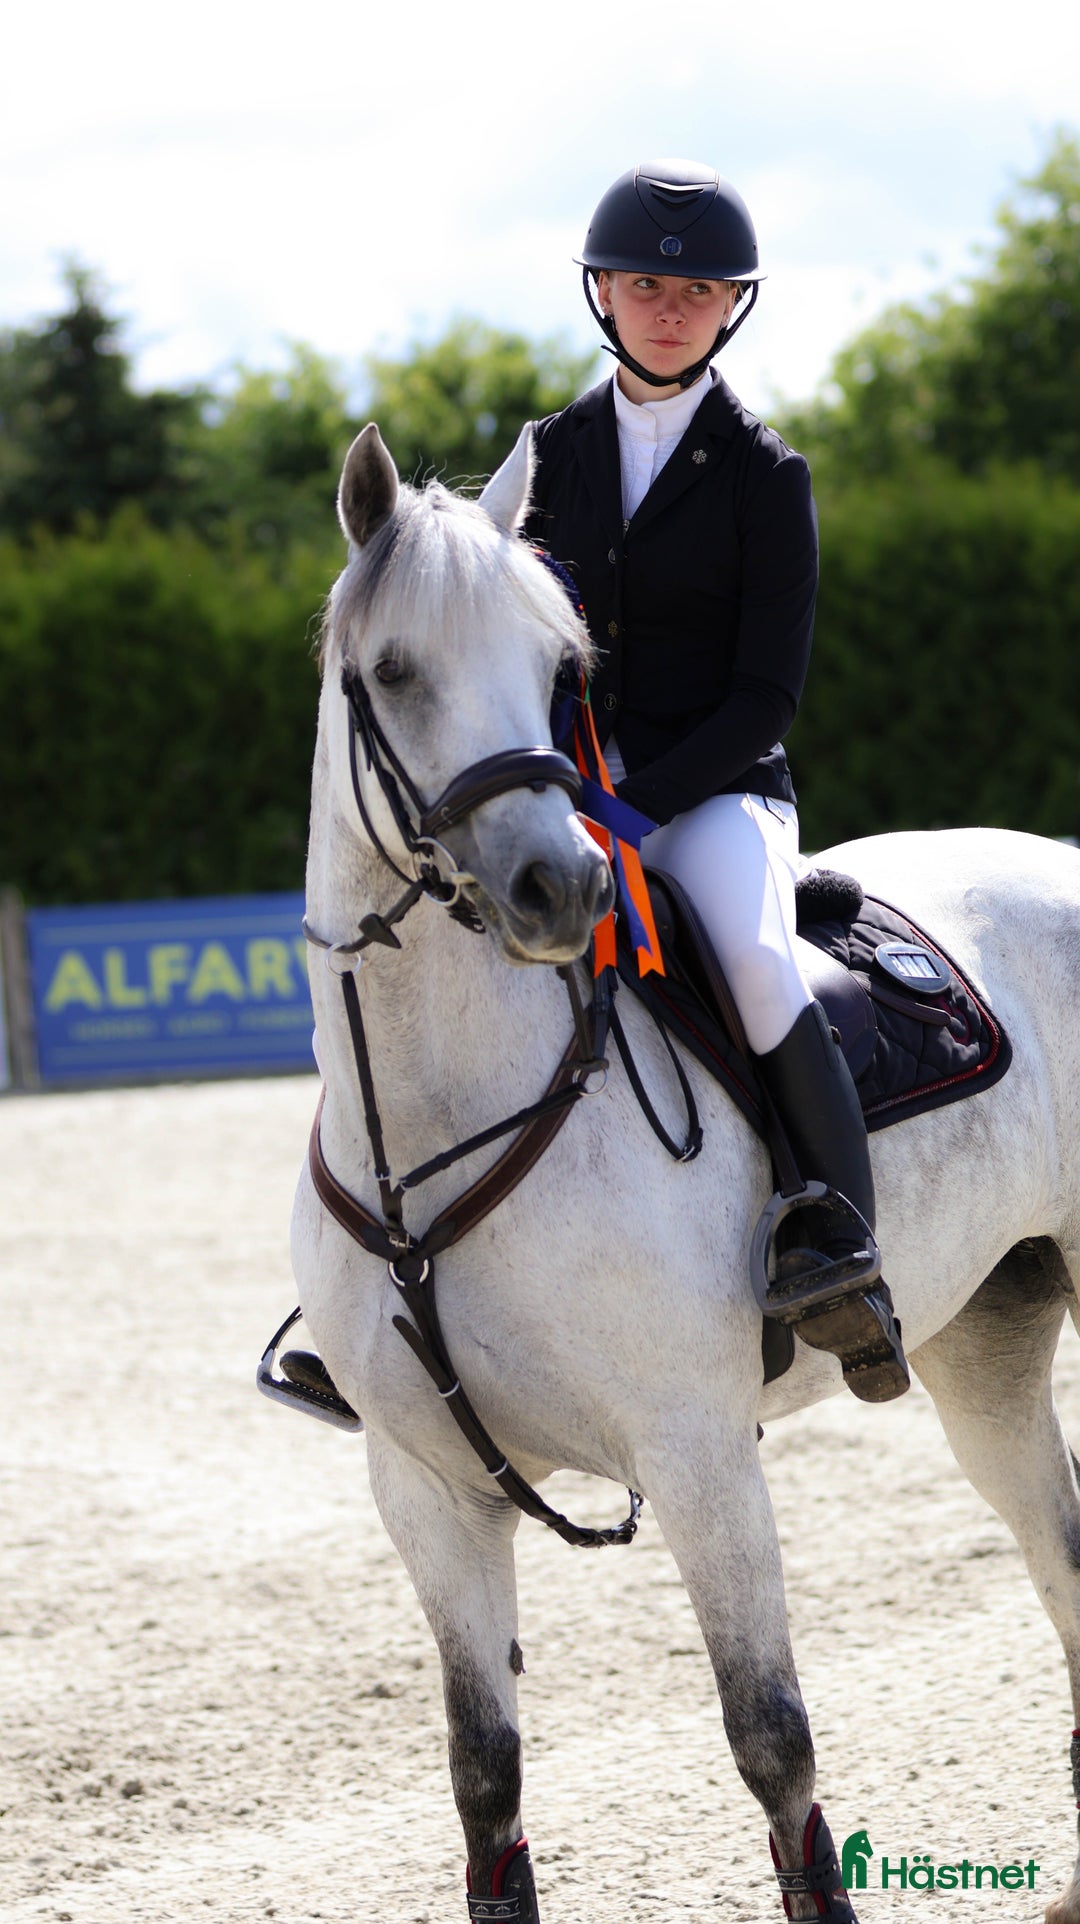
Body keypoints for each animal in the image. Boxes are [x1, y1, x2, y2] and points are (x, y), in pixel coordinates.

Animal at [286, 419, 1080, 1923]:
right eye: (397, 672)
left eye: (561, 672)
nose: (564, 889)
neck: (440, 1124)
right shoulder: (424, 1488)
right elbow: (485, 1778)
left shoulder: (700, 1450)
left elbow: (772, 1739)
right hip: (986, 1339)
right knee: (1063, 1553)